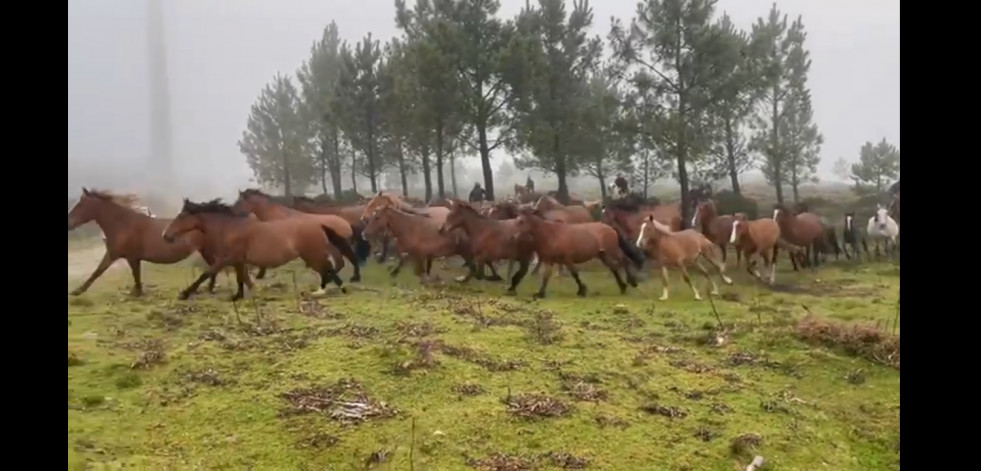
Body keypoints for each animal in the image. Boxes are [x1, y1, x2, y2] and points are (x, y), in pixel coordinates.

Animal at [69, 187, 220, 296]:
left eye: (81, 204)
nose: (69, 223)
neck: (122, 224)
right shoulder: (114, 254)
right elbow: (99, 271)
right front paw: (78, 291)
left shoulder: (129, 257)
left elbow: (132, 274)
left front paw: (138, 292)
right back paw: (209, 288)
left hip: (207, 250)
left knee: (214, 267)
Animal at [157, 199, 348, 302]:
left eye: (181, 216)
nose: (165, 235)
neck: (229, 228)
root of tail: (320, 226)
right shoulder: (238, 261)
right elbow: (241, 278)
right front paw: (239, 295)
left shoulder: (227, 258)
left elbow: (207, 273)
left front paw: (184, 293)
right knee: (328, 269)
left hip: (311, 255)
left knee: (328, 269)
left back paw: (325, 291)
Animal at [232, 190, 370, 282]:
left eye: (239, 201)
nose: (232, 212)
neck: (278, 215)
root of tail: (346, 223)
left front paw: (260, 274)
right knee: (351, 260)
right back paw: (354, 277)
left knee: (342, 263)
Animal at [510, 207, 648, 298]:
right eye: (517, 220)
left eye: (521, 221)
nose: (514, 237)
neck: (552, 234)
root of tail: (610, 228)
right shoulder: (550, 261)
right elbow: (546, 276)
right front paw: (540, 293)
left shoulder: (567, 259)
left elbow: (575, 274)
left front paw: (582, 291)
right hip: (602, 255)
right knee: (614, 268)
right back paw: (623, 287)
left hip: (612, 250)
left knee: (625, 261)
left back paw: (632, 282)